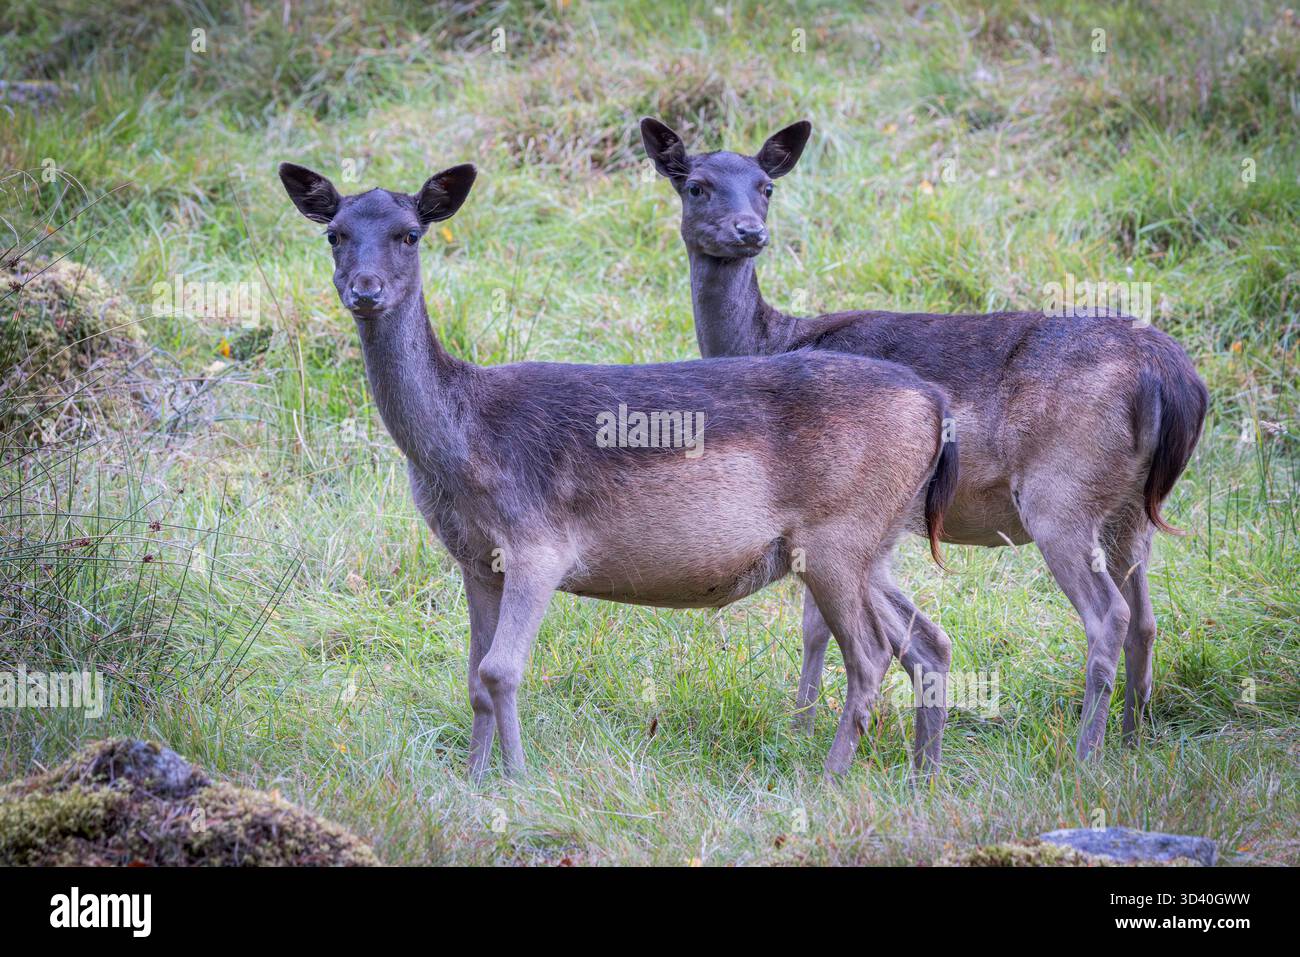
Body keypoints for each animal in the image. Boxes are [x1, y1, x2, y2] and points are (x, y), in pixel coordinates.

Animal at [278, 160, 961, 780]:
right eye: (335, 233)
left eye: (410, 234)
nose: (365, 290)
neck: (461, 447)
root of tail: (935, 403)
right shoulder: (475, 558)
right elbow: (472, 674)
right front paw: (473, 780)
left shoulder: (539, 543)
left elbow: (501, 670)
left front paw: (518, 782)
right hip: (874, 542)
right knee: (927, 640)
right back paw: (922, 775)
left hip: (836, 537)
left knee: (870, 655)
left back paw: (831, 777)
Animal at [641, 117, 1209, 761]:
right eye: (697, 186)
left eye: (766, 187)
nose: (749, 230)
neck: (770, 342)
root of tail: (1172, 375)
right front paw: (804, 723)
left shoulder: (831, 495)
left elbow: (813, 623)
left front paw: (800, 727)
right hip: (1131, 509)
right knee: (1144, 617)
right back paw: (1132, 741)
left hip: (1061, 492)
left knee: (1108, 615)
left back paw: (1085, 753)